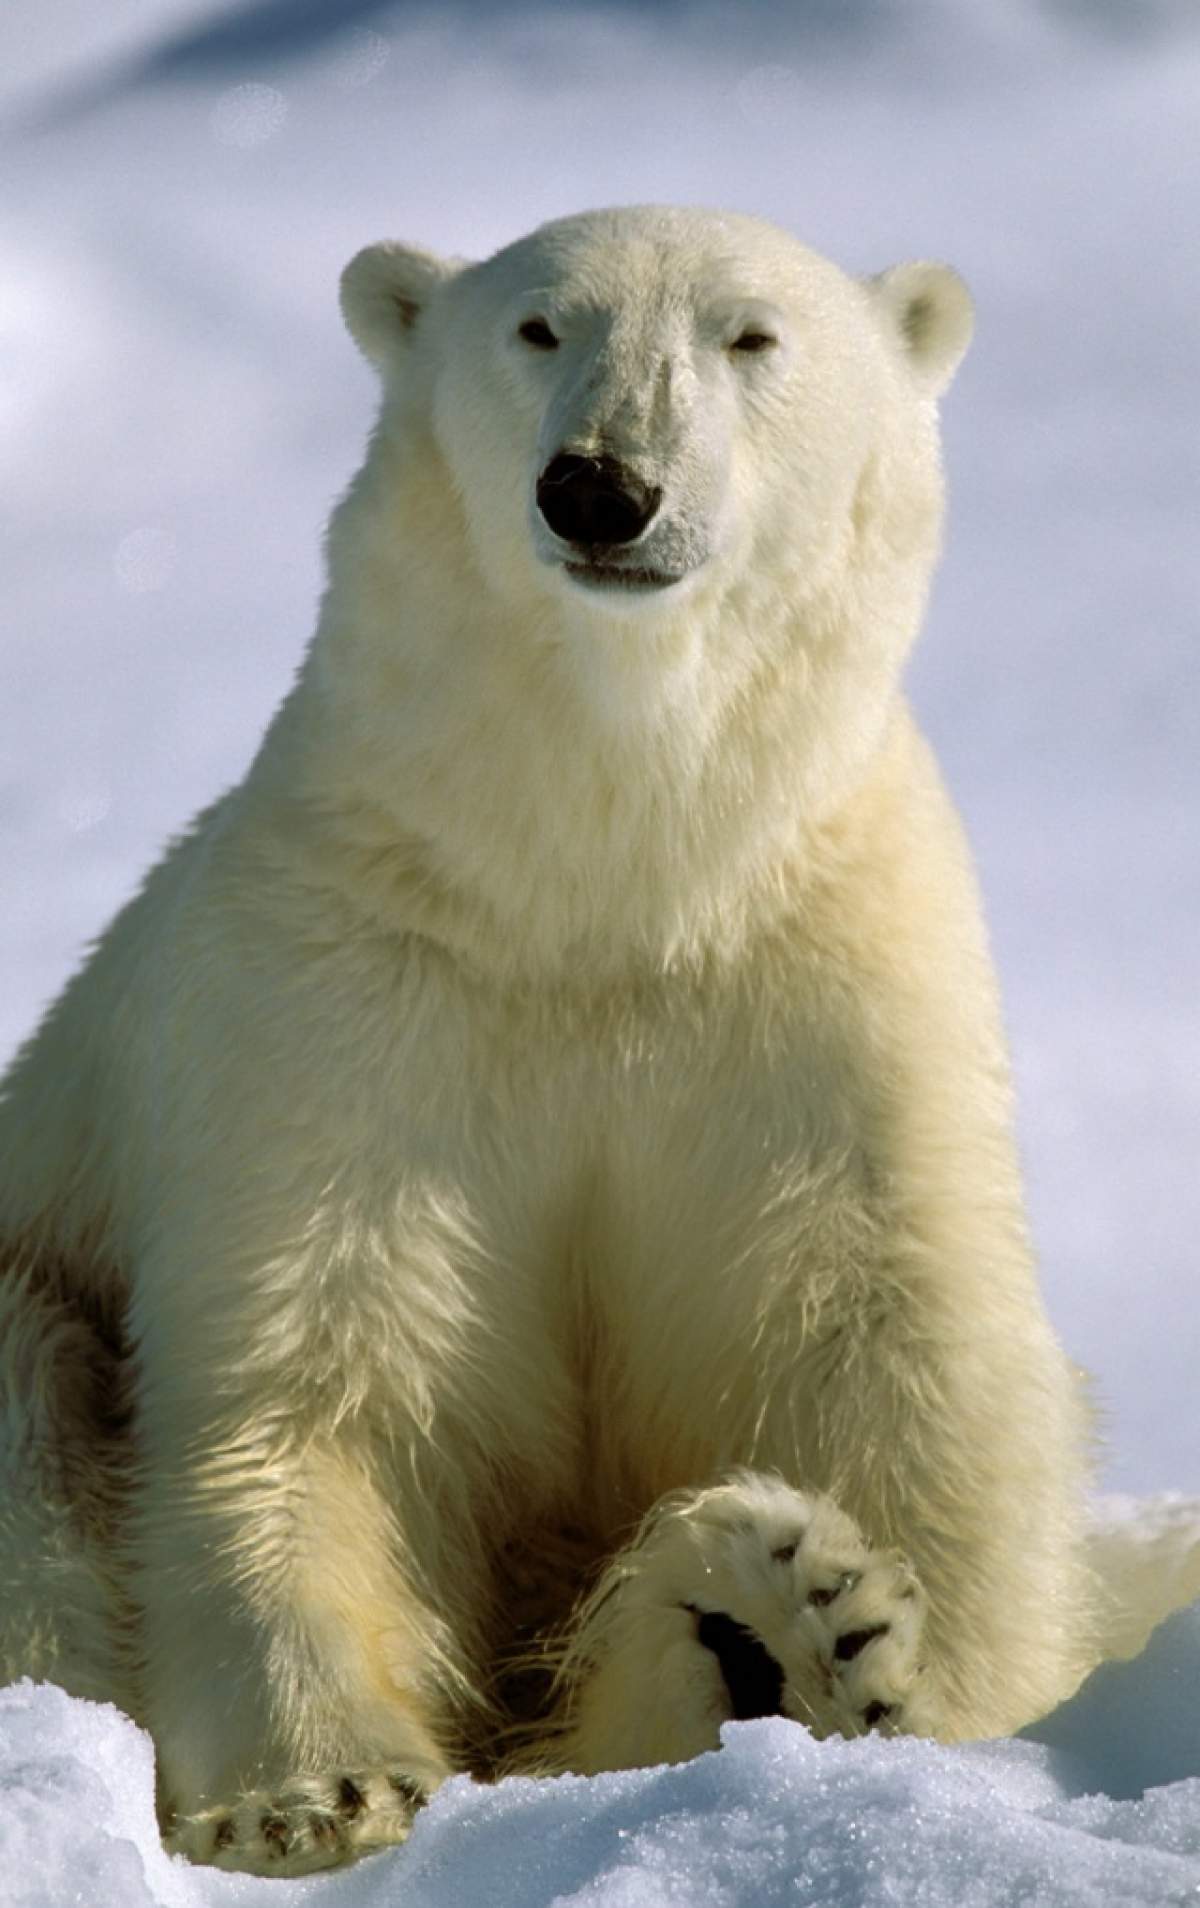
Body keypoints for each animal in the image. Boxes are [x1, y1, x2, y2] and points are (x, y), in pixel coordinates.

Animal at [0, 201, 1098, 1869]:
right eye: (538, 327)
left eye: (750, 335)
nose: (600, 484)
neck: (596, 886)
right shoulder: (339, 1002)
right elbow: (307, 1392)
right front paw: (322, 1792)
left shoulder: (822, 989)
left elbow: (899, 1352)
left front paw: (907, 1672)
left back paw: (771, 1619)